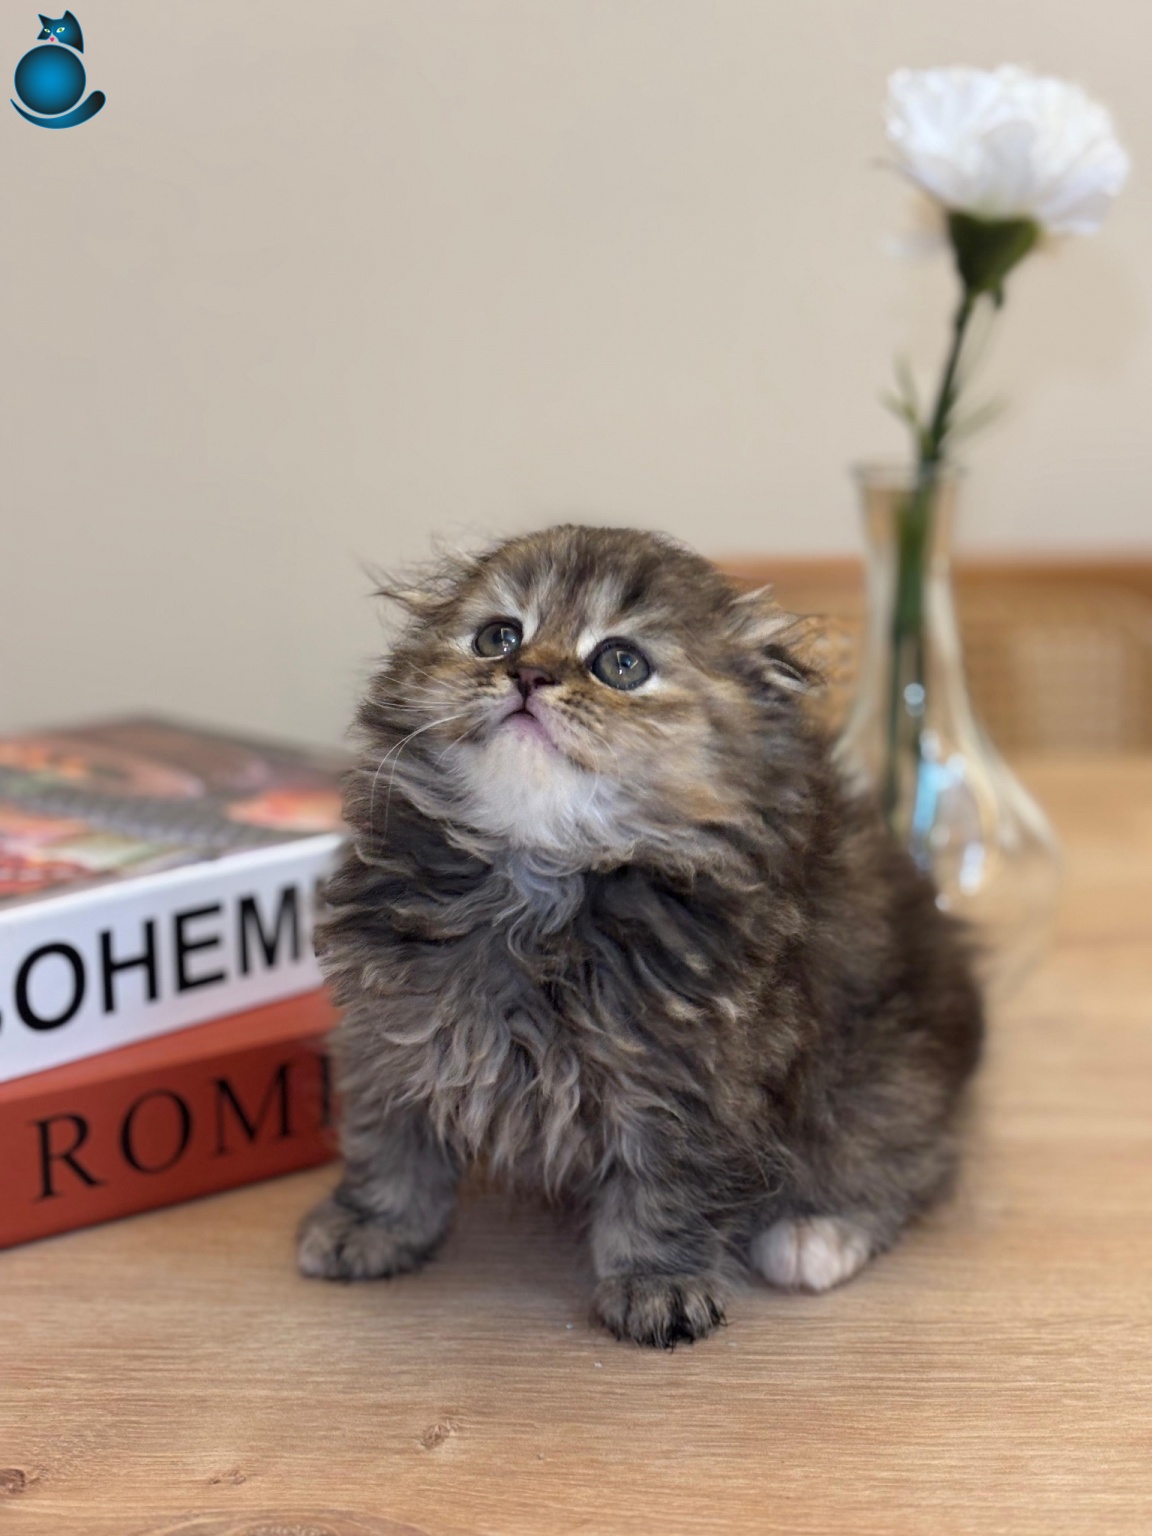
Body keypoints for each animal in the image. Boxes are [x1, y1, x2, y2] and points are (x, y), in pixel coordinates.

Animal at [297, 525, 983, 1348]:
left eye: (620, 664)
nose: (527, 673)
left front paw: (658, 1284)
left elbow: (665, 1192)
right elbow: (389, 1142)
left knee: (906, 1160)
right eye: (498, 637)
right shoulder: (391, 1030)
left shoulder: (695, 1083)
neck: (538, 882)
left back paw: (816, 1234)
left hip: (886, 1074)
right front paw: (372, 1224)